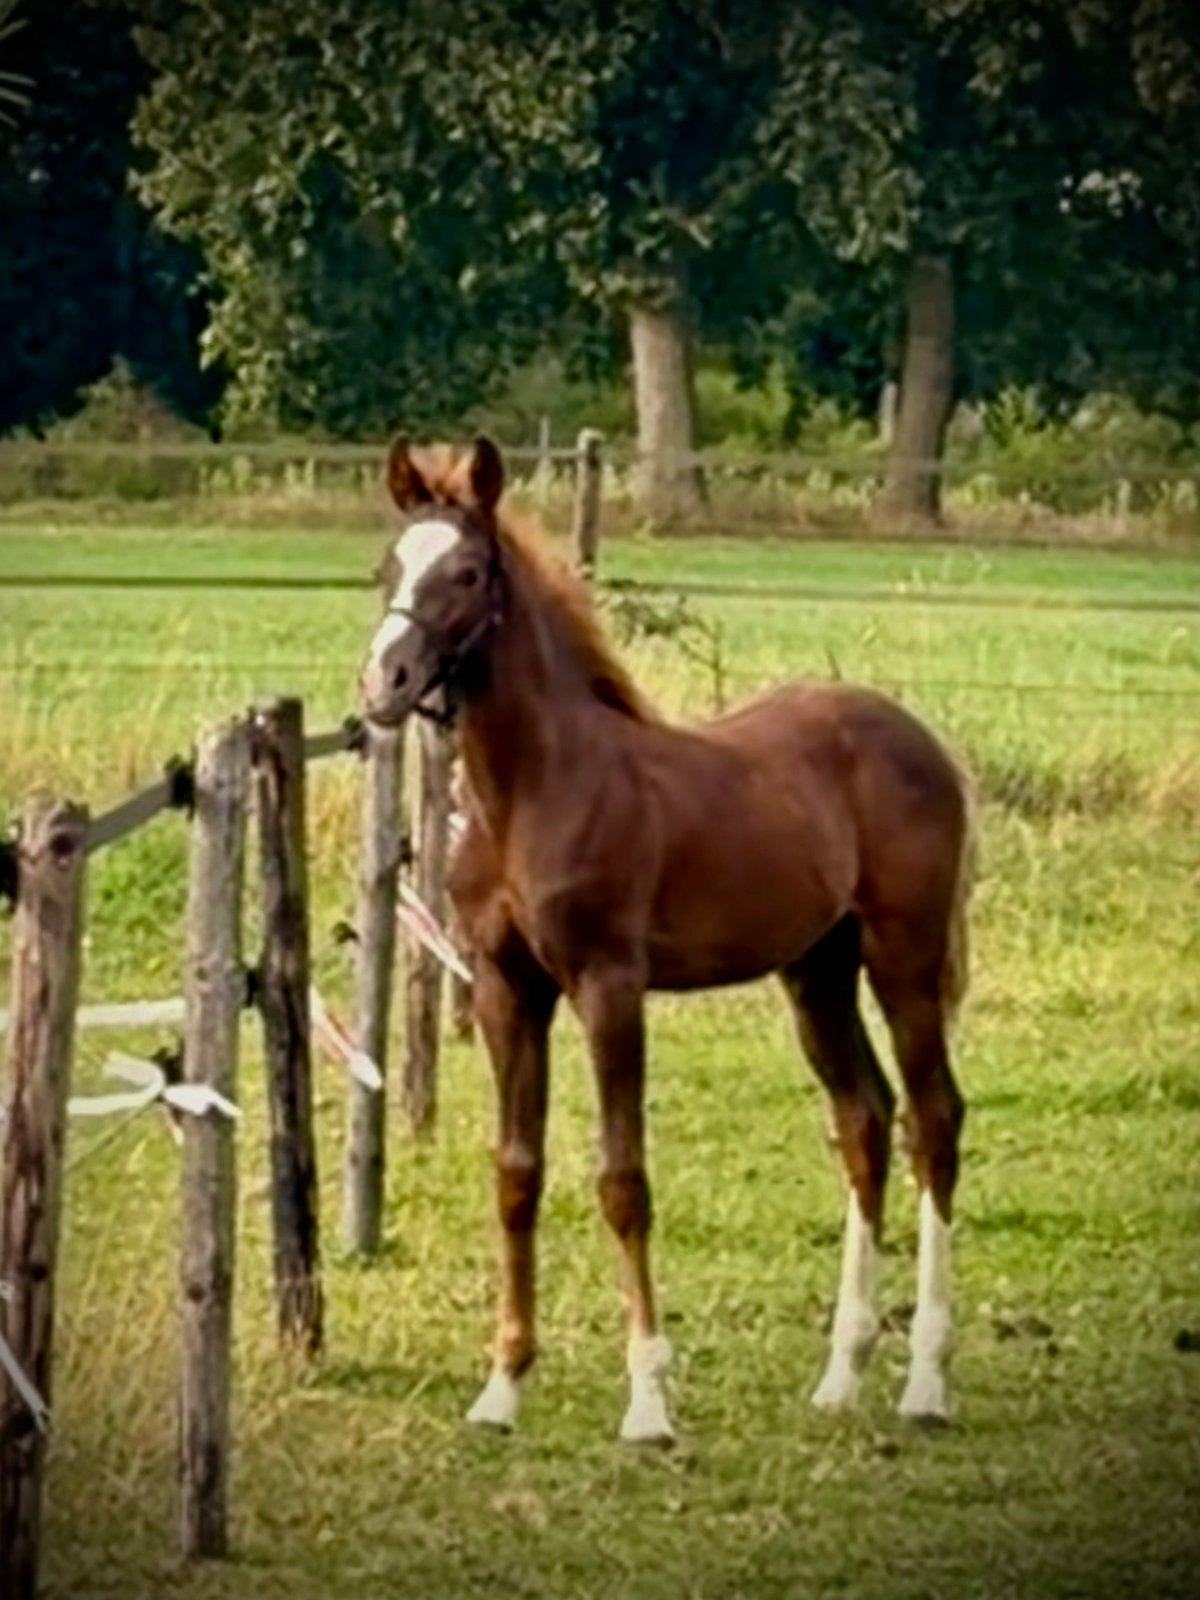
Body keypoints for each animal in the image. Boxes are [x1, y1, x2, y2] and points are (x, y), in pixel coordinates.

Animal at [360, 436, 974, 1443]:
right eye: (390, 567)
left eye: (470, 571)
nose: (385, 683)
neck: (536, 790)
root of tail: (921, 741)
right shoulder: (505, 988)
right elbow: (516, 1174)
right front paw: (502, 1388)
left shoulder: (609, 986)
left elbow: (623, 1180)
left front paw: (647, 1402)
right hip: (817, 972)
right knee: (865, 1119)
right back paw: (840, 1375)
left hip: (904, 958)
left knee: (934, 1119)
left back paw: (924, 1382)